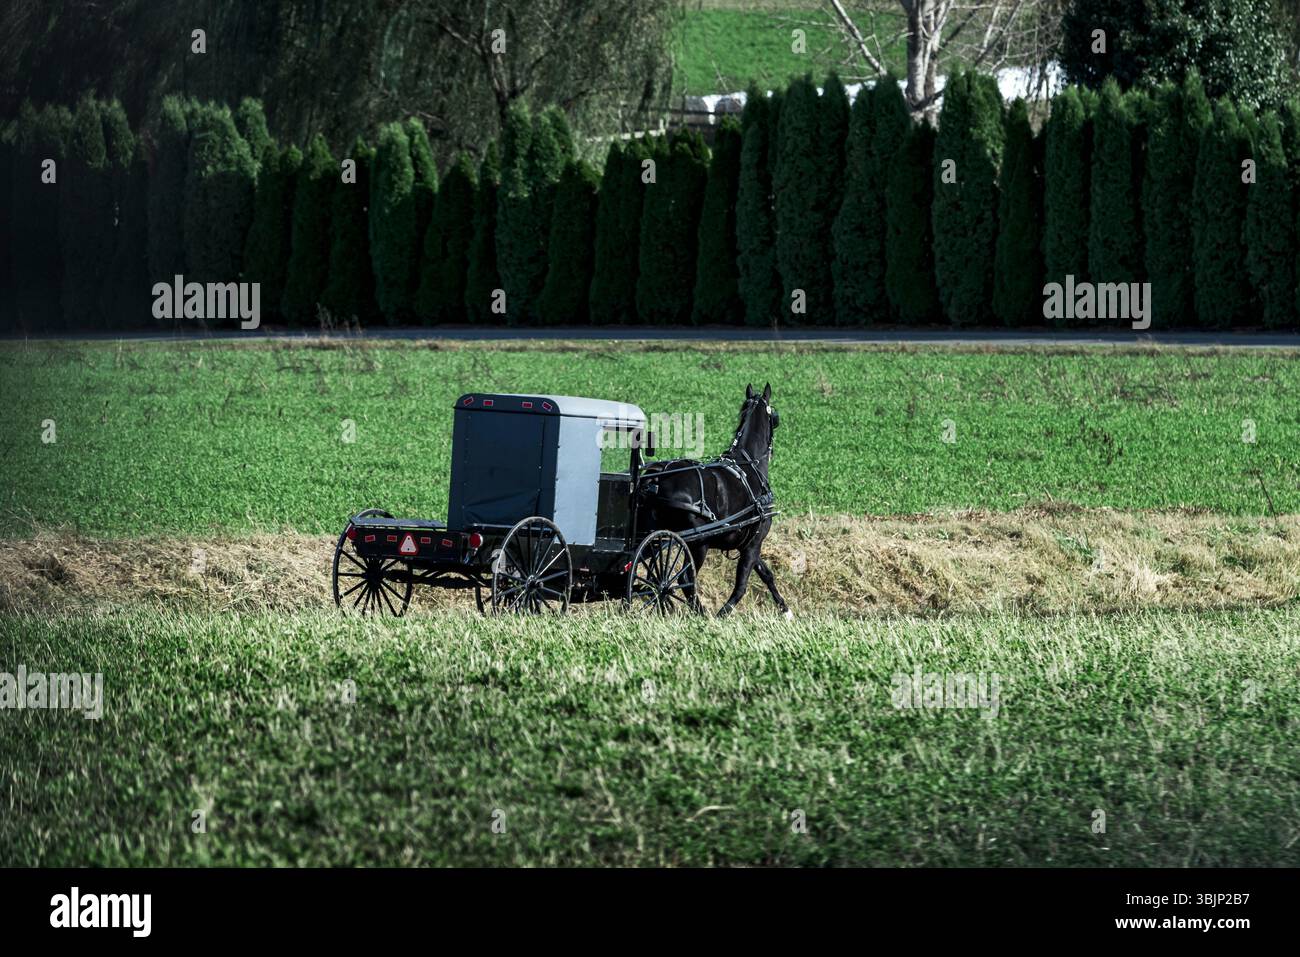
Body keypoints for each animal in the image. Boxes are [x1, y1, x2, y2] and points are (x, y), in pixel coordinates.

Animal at [636, 383, 791, 617]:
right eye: (775, 417)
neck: (749, 464)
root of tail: (658, 477)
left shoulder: (747, 542)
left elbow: (766, 574)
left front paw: (785, 609)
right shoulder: (754, 542)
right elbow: (741, 585)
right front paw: (722, 615)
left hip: (656, 537)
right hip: (698, 544)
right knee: (685, 579)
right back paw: (701, 614)